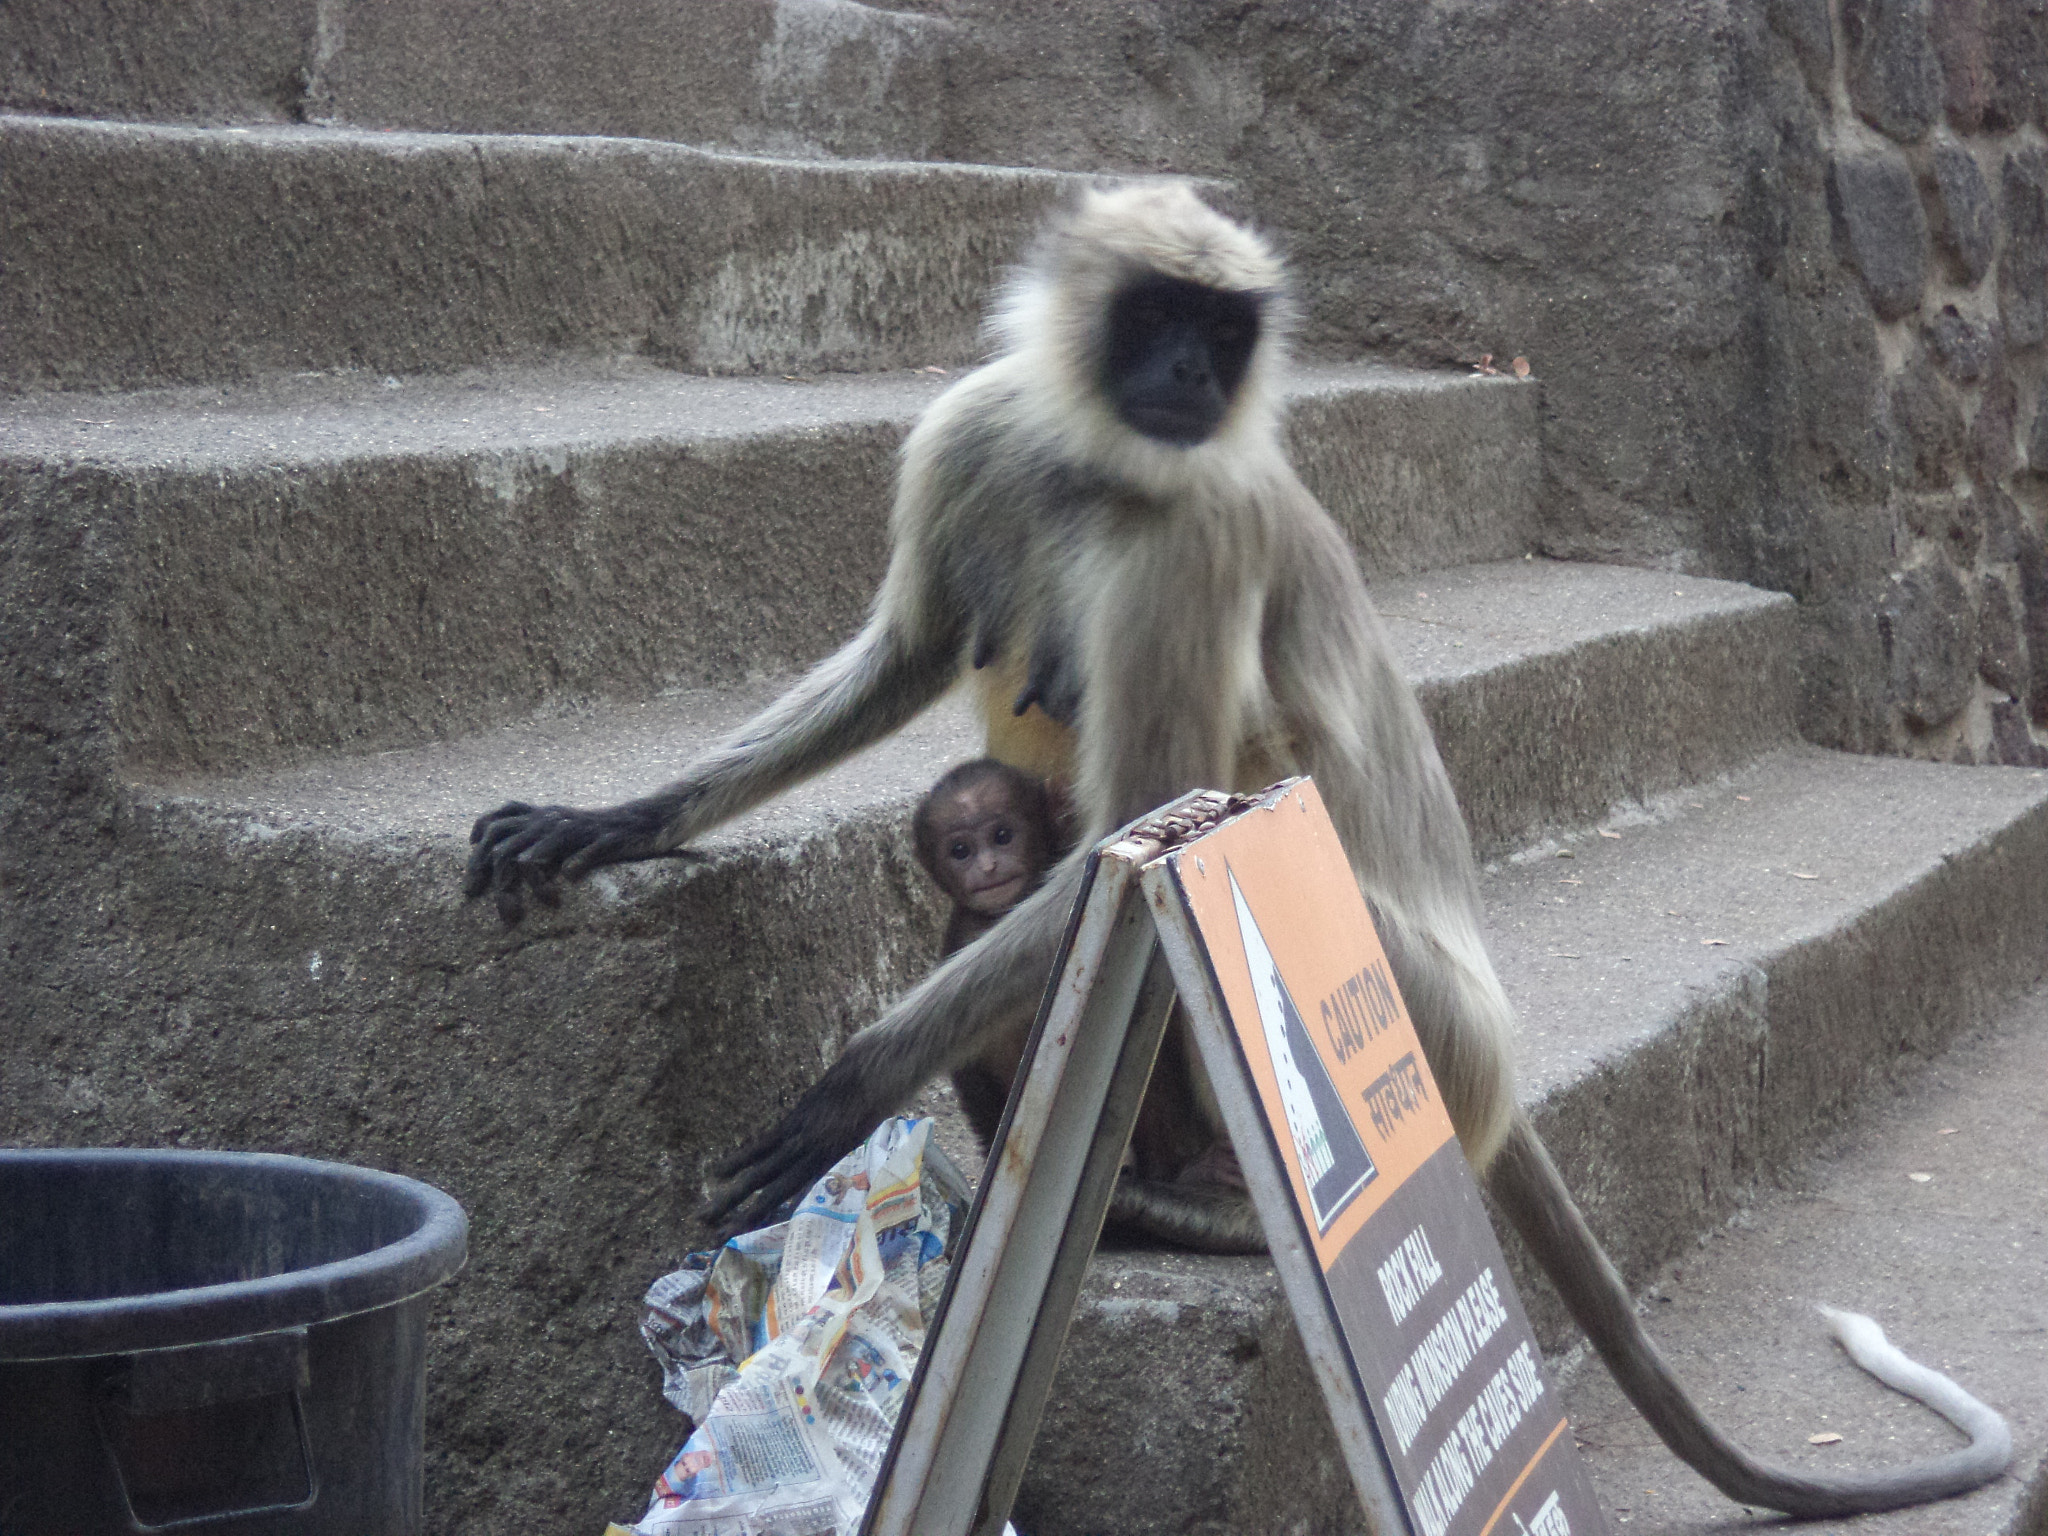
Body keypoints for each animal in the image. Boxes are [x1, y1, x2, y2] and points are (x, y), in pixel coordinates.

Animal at [466, 182, 2011, 1515]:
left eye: (1225, 334)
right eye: (1160, 317)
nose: (1195, 379)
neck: (1094, 465)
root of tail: (1490, 1067)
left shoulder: (1194, 527)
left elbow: (1138, 839)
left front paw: (845, 1088)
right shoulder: (977, 427)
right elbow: (908, 652)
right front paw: (614, 822)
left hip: (1390, 1002)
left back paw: (1192, 1212)